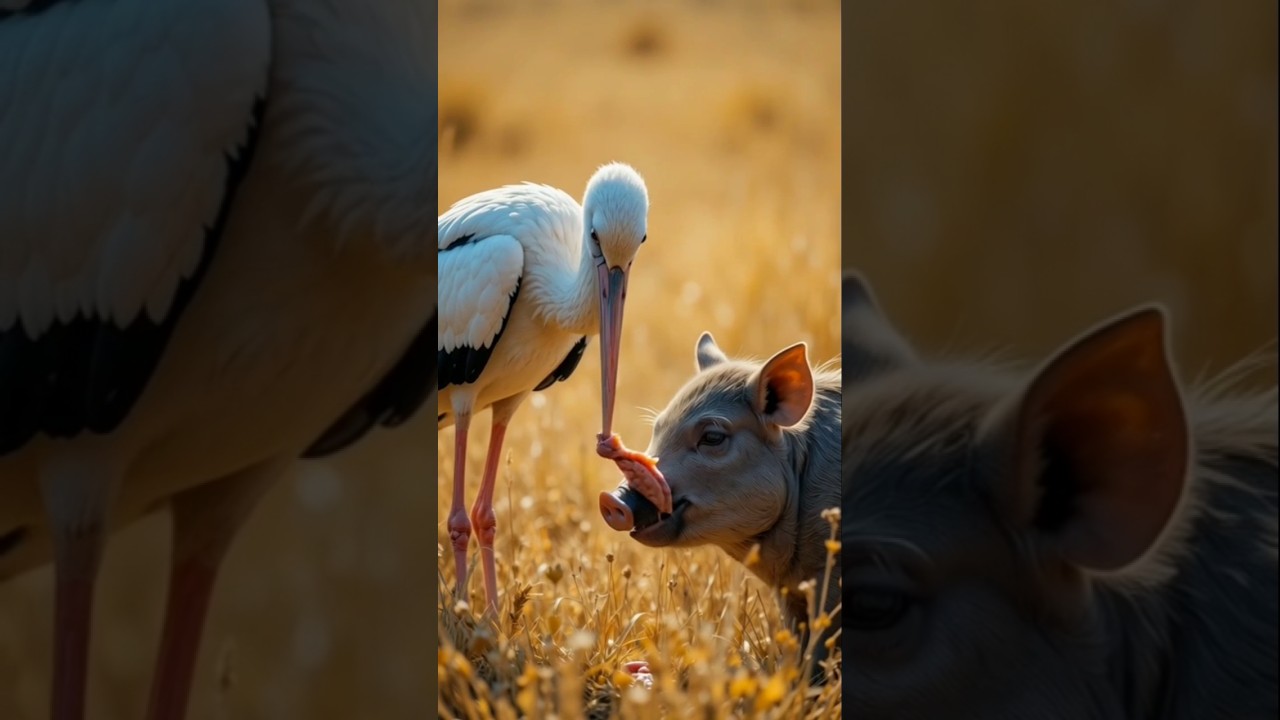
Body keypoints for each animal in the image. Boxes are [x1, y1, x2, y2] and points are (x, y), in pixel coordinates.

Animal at [599, 332, 843, 677]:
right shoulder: (790, 591)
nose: (612, 499)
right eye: (658, 428)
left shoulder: (828, 576)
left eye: (712, 437)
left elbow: (819, 643)